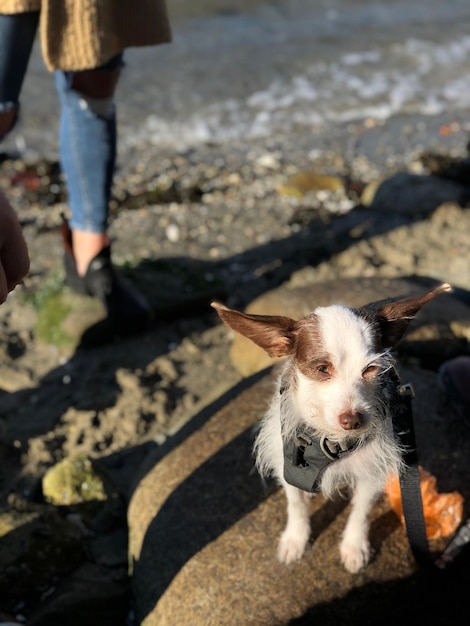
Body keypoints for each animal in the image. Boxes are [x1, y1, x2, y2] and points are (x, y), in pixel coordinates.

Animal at [213, 282, 452, 572]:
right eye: (322, 368)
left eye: (371, 368)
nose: (353, 420)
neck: (330, 439)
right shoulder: (287, 465)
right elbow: (295, 504)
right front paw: (296, 538)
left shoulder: (371, 472)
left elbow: (361, 511)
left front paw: (354, 545)